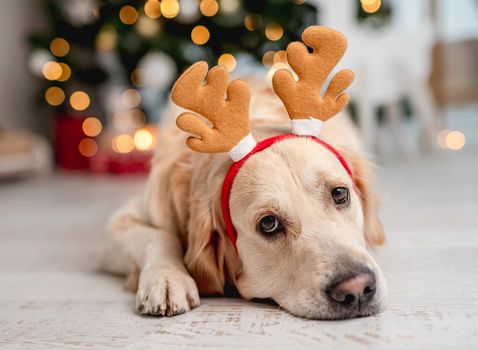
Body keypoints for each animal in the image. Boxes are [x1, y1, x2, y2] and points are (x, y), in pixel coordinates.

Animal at [99, 26, 386, 318]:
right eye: (268, 224)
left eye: (339, 193)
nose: (357, 288)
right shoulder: (119, 225)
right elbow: (158, 236)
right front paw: (167, 278)